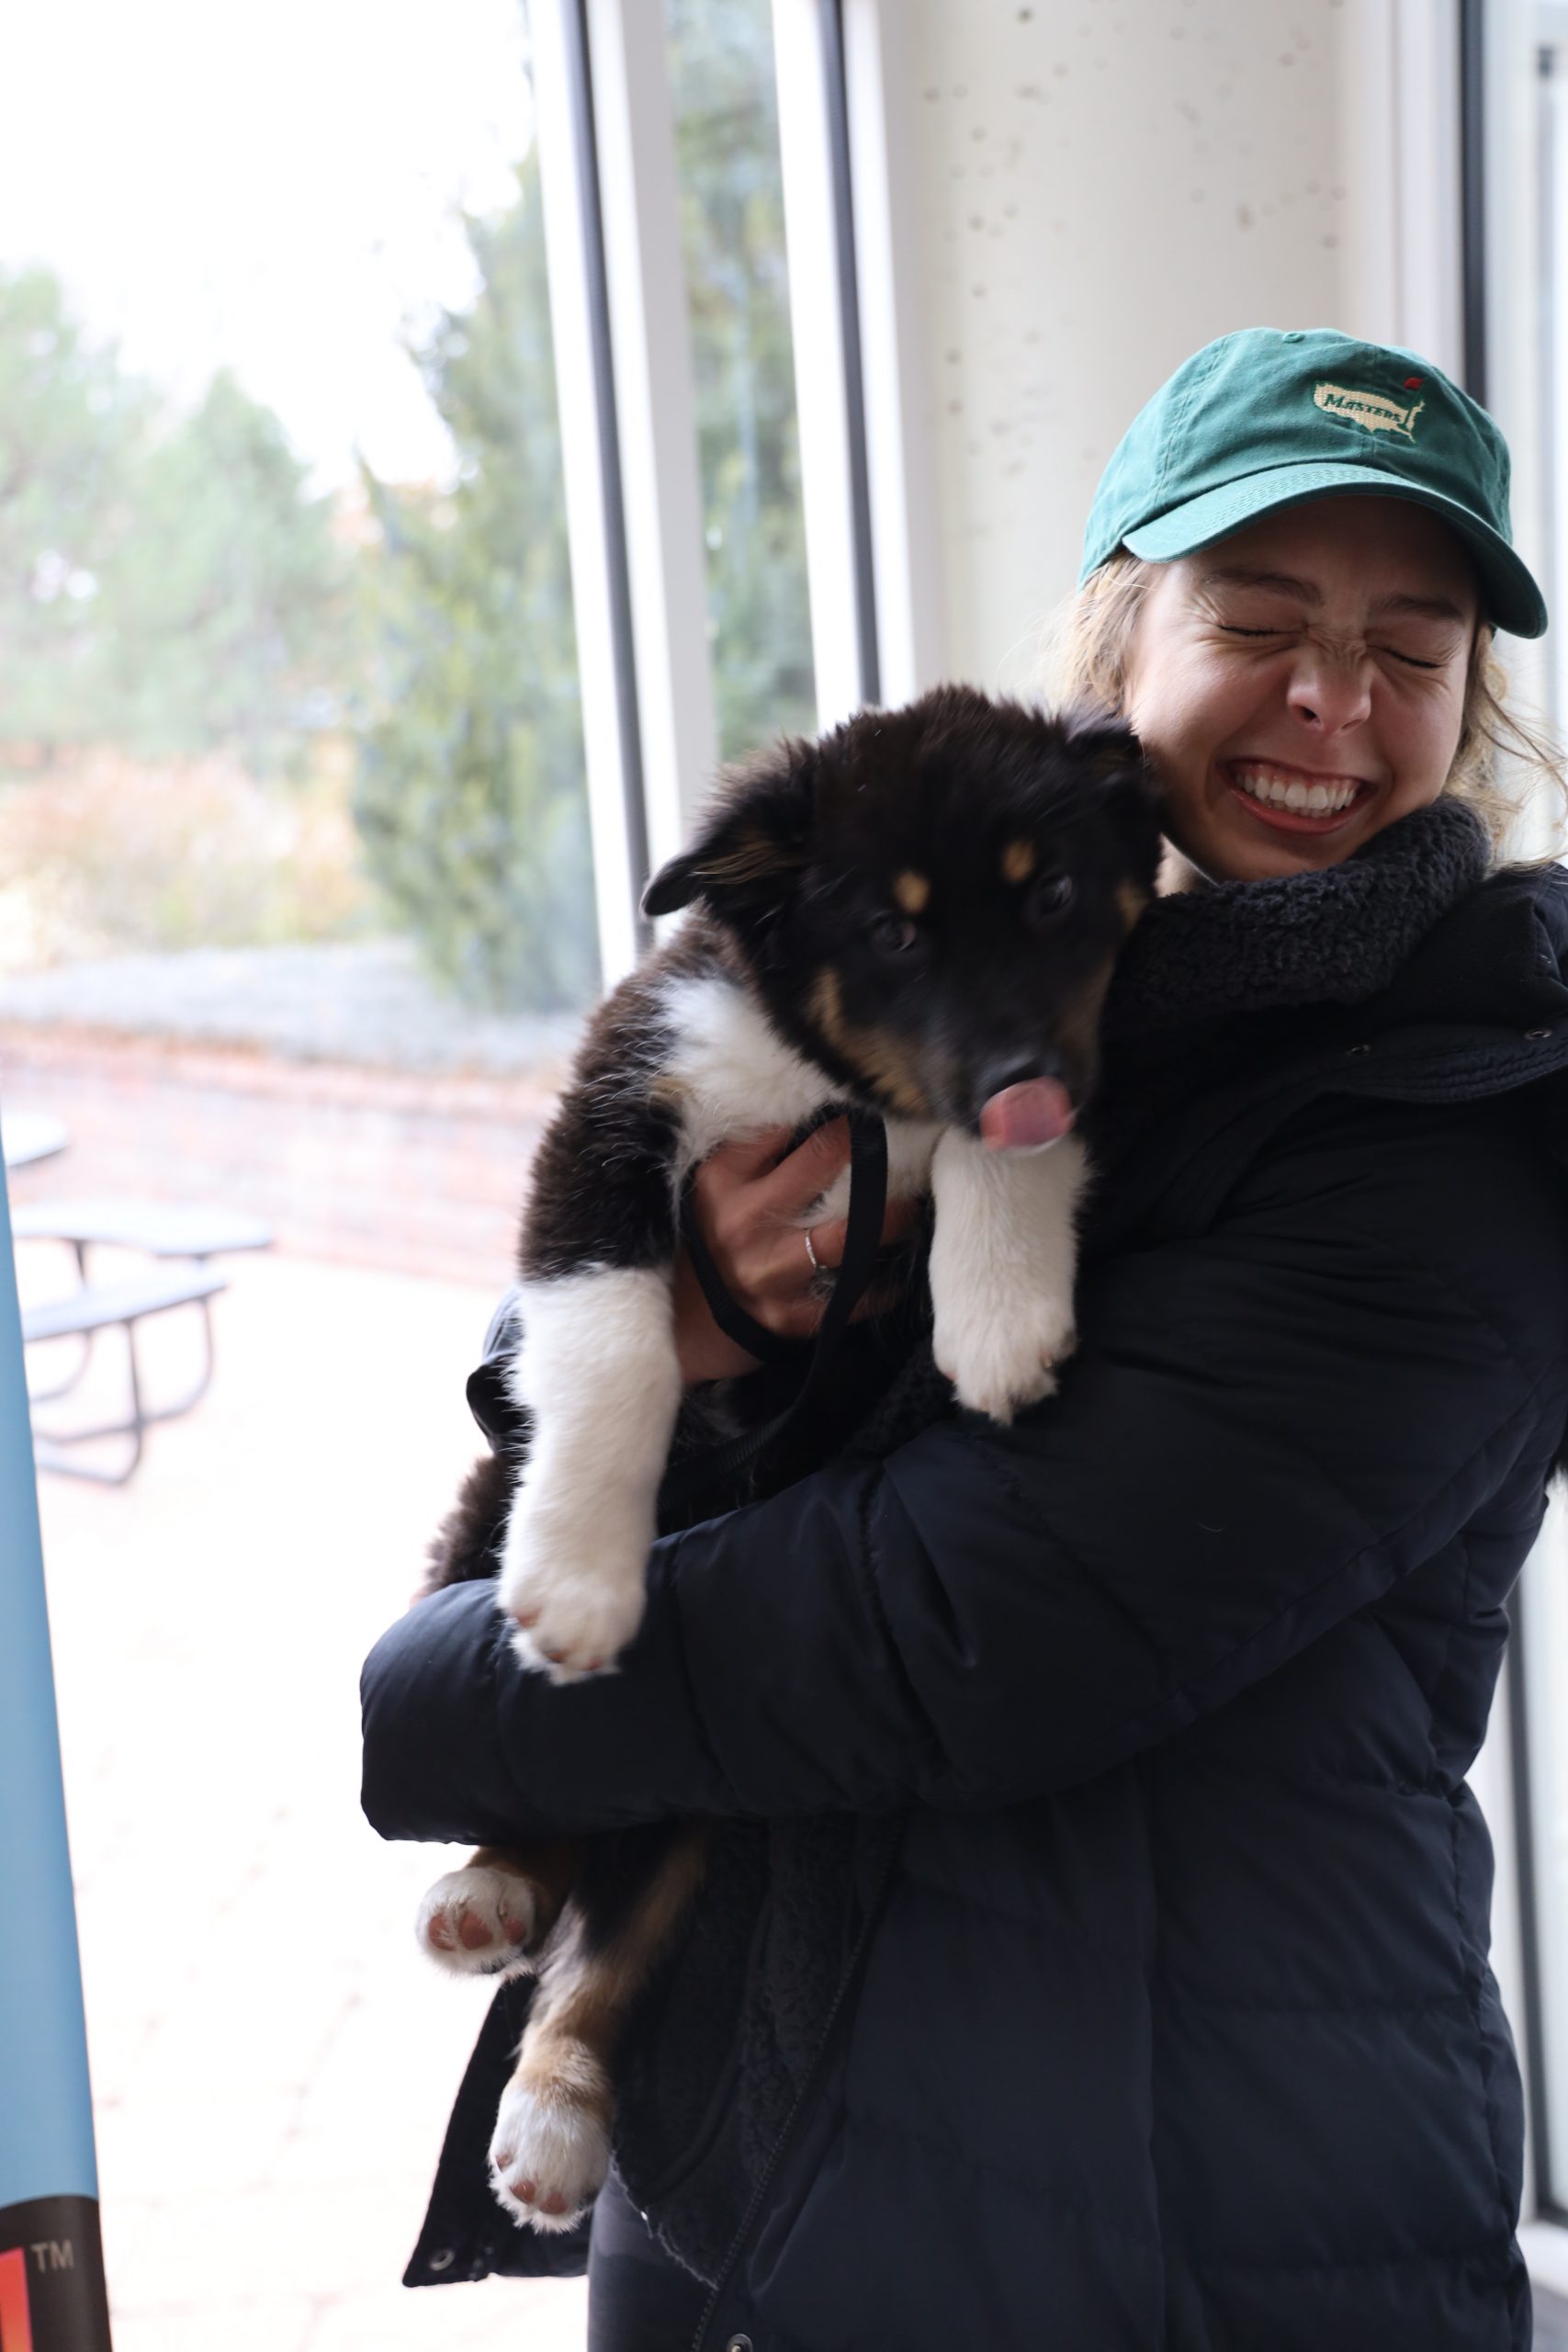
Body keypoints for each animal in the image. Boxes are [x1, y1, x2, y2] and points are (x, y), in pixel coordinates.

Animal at [411, 686, 1161, 2229]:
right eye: (890, 932)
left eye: (1052, 895)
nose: (1013, 1083)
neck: (837, 1084)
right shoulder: (610, 1111)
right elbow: (618, 1342)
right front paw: (579, 1582)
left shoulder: (1068, 1069)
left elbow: (1004, 1160)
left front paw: (999, 1312)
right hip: (481, 1511)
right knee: (528, 1771)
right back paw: (489, 1887)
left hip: (725, 1764)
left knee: (614, 1936)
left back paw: (556, 2108)